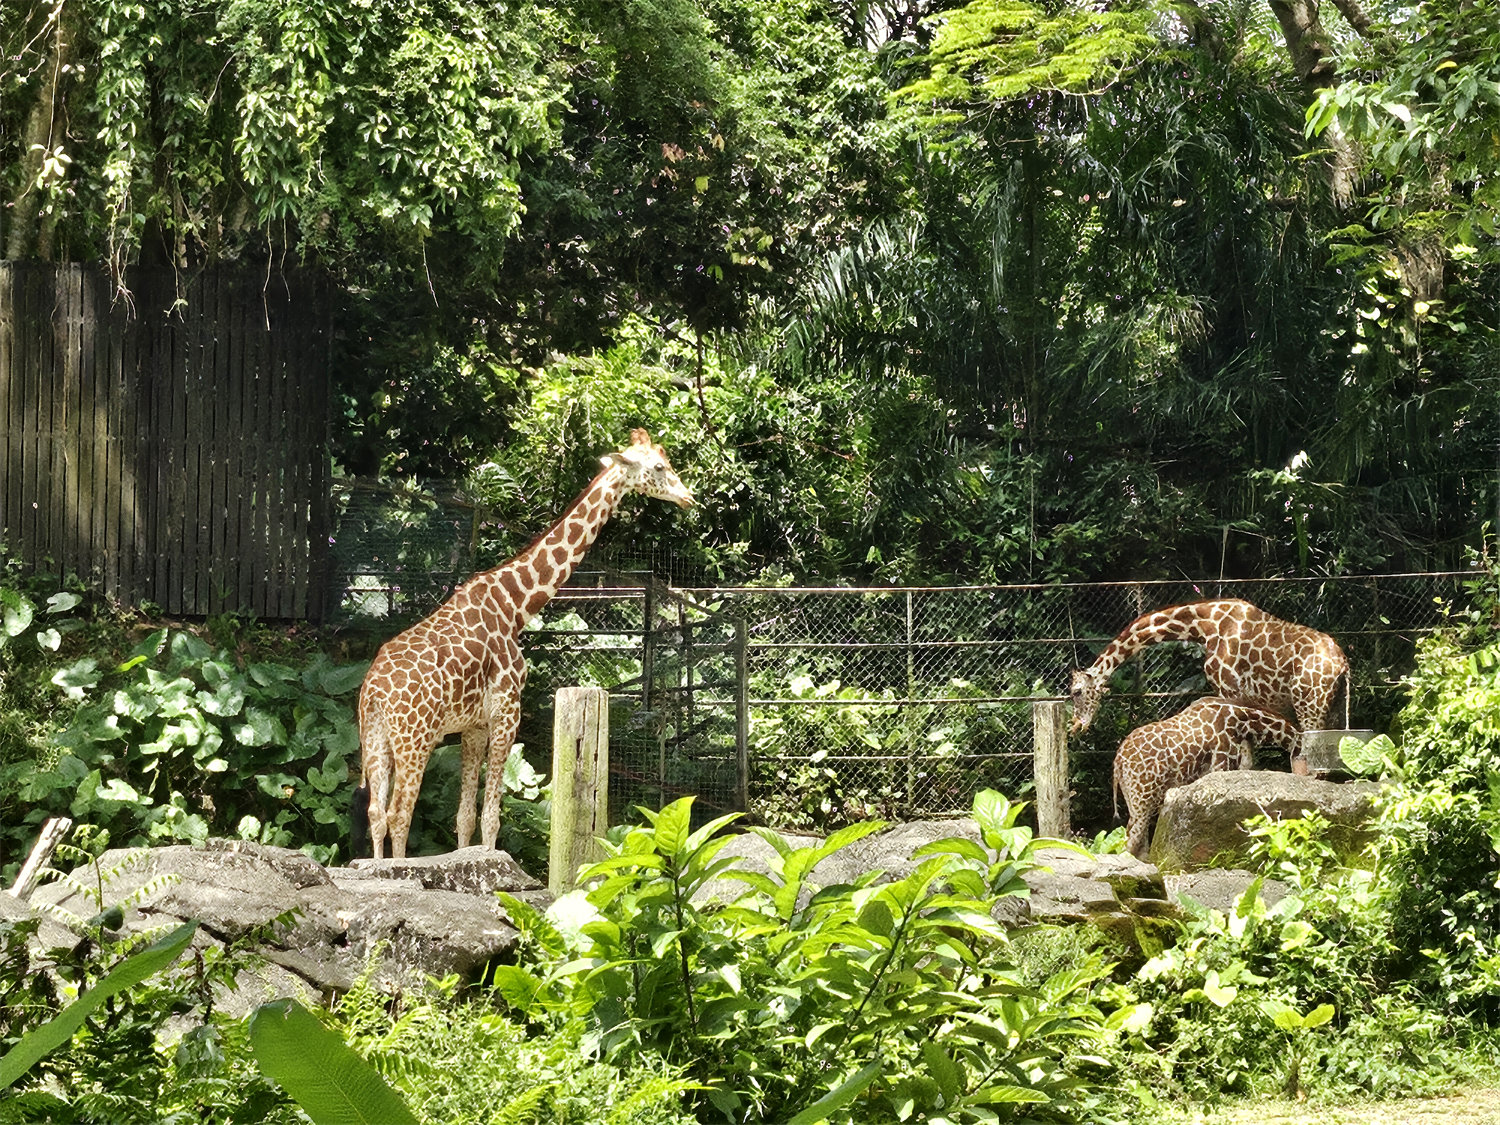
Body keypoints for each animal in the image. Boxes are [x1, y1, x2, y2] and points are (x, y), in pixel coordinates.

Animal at [354, 432, 693, 864]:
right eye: (659, 467)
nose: (688, 497)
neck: (514, 605)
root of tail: (374, 691)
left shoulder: (474, 725)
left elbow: (464, 817)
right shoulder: (507, 713)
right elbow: (491, 819)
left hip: (376, 738)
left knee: (376, 813)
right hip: (415, 738)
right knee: (399, 814)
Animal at [1068, 594, 1350, 744]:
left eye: (1076, 691)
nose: (1076, 726)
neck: (1204, 626)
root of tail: (1342, 664)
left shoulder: (1229, 691)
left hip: (1310, 705)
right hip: (1335, 708)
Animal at [1116, 696, 1302, 864]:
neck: (1244, 723)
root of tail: (1118, 761)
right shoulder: (1220, 764)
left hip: (1133, 797)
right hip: (1143, 794)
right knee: (1131, 839)